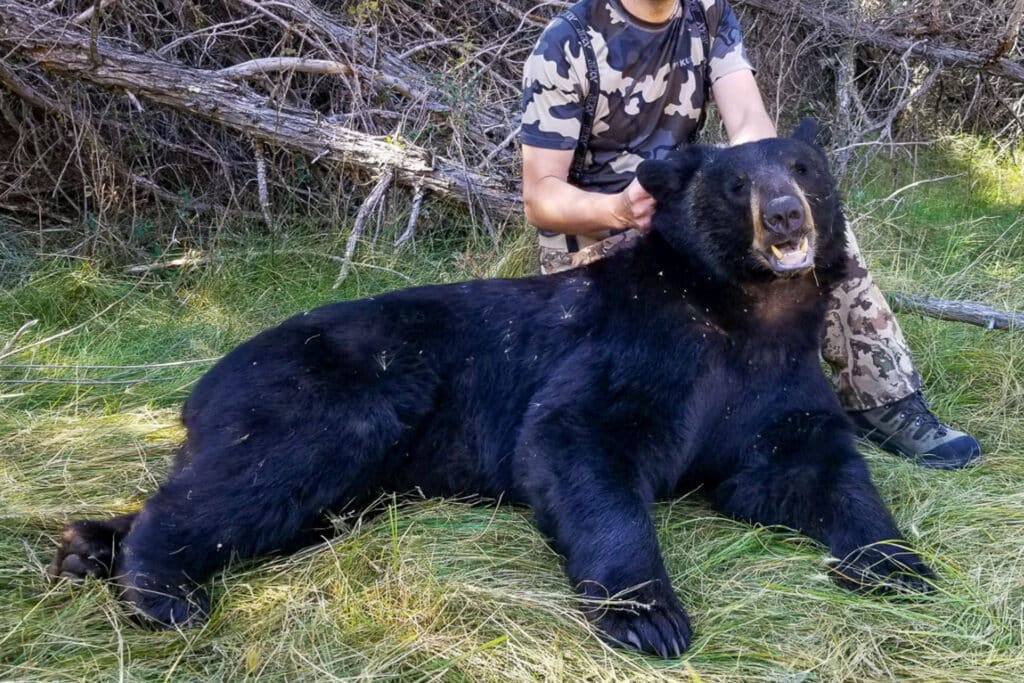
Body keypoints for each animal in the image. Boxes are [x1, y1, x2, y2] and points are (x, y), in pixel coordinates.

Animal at [49, 120, 933, 658]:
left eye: (804, 168)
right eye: (733, 182)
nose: (785, 215)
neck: (742, 313)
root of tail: (200, 389)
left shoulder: (773, 378)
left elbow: (807, 465)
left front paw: (896, 562)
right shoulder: (637, 348)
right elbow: (575, 438)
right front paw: (650, 615)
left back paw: (89, 542)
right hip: (329, 387)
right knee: (261, 468)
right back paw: (160, 588)